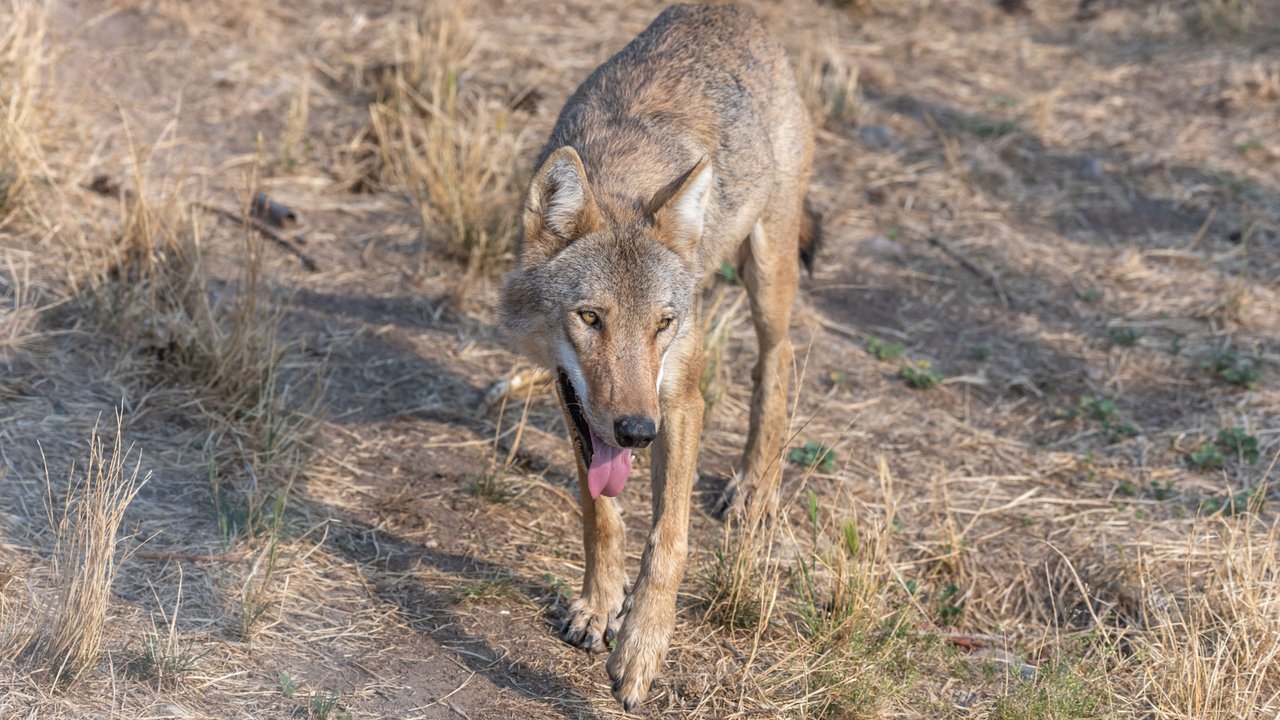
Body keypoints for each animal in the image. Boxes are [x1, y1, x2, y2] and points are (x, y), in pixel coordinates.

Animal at [494, 1, 814, 707]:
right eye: (590, 318)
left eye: (663, 324)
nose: (639, 432)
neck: (620, 177)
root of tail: (734, 11)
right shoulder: (578, 401)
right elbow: (600, 513)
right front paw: (598, 606)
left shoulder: (680, 401)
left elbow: (668, 537)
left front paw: (641, 647)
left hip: (768, 270)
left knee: (776, 360)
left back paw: (755, 486)